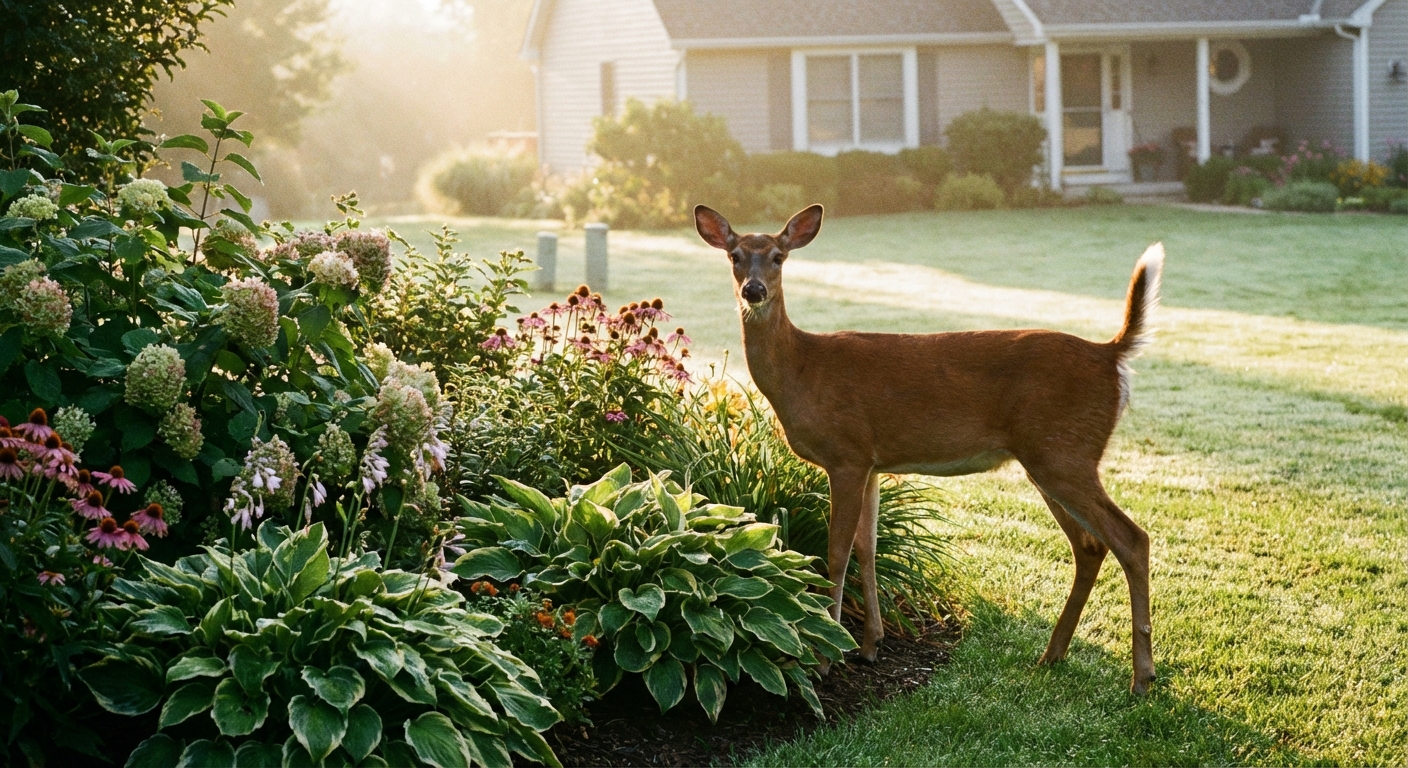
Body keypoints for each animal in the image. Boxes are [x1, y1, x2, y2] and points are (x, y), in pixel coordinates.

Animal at [693, 203, 1163, 694]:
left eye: (778, 257)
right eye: (735, 256)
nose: (754, 290)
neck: (802, 370)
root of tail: (1111, 355)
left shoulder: (846, 454)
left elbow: (836, 553)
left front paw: (826, 659)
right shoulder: (872, 463)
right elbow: (867, 546)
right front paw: (870, 645)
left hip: (1063, 454)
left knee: (1132, 538)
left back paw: (1142, 677)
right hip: (1051, 458)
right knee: (1090, 546)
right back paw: (1052, 655)